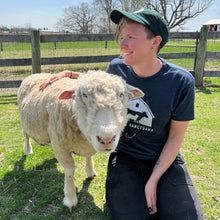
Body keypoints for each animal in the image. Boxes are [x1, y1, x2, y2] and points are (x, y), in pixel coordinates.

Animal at [17, 71, 144, 211]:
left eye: (121, 94)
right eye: (84, 95)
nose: (106, 139)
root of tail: (35, 74)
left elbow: (88, 156)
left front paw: (90, 171)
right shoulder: (60, 146)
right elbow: (69, 171)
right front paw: (70, 198)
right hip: (24, 122)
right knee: (25, 135)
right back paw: (28, 150)